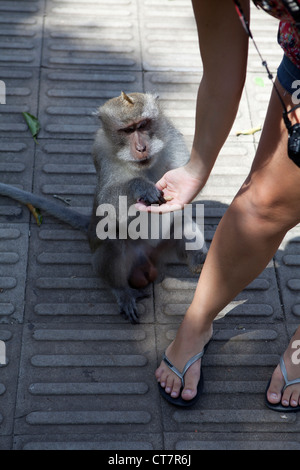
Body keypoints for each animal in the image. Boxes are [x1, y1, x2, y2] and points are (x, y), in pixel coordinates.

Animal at [0, 93, 206, 324]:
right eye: (127, 130)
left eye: (143, 125)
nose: (141, 148)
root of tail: (149, 260)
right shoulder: (101, 152)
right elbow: (107, 202)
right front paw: (139, 186)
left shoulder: (173, 138)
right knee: (112, 242)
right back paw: (122, 291)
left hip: (164, 249)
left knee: (182, 224)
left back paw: (198, 261)